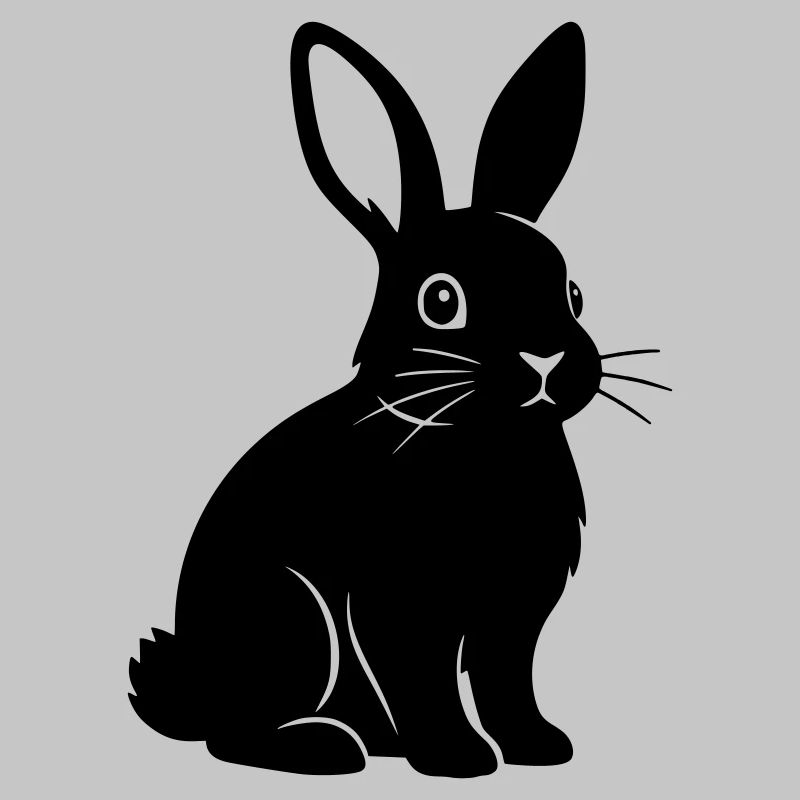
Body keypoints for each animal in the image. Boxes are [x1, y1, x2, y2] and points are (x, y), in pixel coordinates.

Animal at [129, 21, 668, 778]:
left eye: (574, 294)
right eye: (441, 301)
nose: (547, 361)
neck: (488, 443)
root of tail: (196, 688)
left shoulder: (514, 615)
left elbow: (509, 682)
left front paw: (539, 747)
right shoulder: (403, 604)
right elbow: (424, 678)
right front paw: (457, 759)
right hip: (291, 622)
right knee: (233, 735)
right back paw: (327, 747)